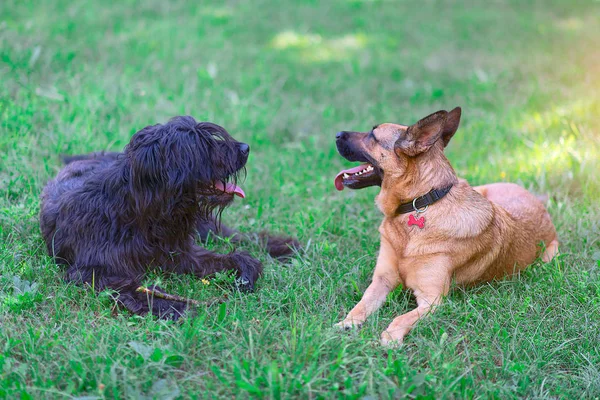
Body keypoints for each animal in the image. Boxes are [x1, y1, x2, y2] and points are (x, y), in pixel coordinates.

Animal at [39, 115, 298, 318]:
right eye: (202, 144)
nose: (245, 148)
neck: (142, 215)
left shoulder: (182, 252)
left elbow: (233, 258)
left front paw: (245, 271)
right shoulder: (92, 271)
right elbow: (134, 290)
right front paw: (175, 308)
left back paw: (285, 247)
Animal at [332, 108, 556, 346]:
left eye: (372, 136)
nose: (336, 134)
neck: (420, 202)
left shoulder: (432, 299)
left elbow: (402, 317)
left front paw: (391, 336)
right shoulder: (381, 281)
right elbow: (362, 304)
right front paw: (347, 322)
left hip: (549, 256)